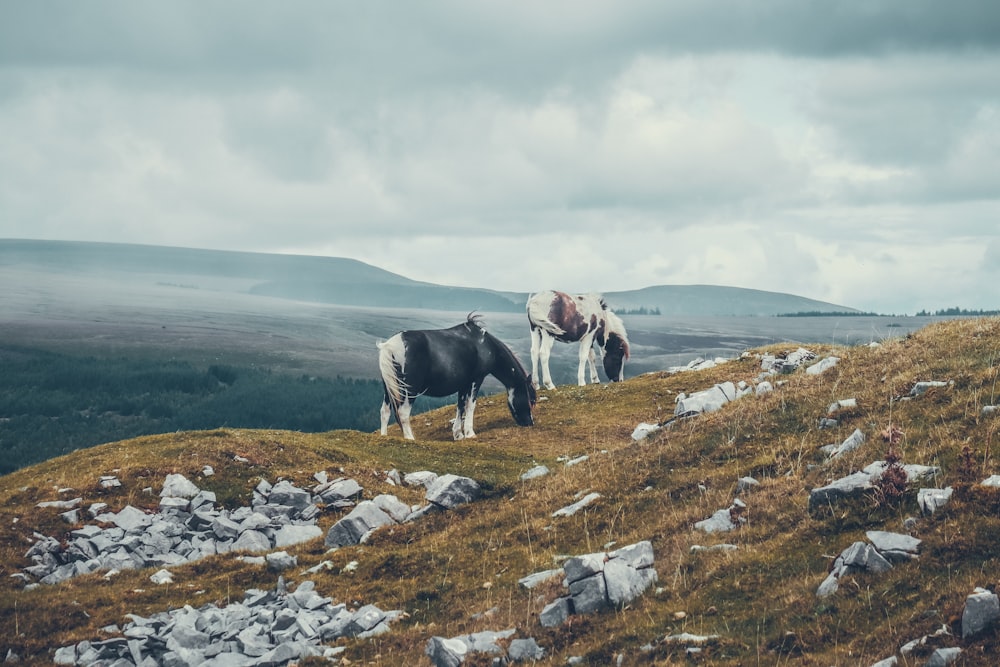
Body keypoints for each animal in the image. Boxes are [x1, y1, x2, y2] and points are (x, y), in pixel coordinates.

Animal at [376, 316, 536, 440]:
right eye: (531, 400)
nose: (530, 423)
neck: (485, 345)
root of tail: (390, 345)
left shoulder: (463, 384)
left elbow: (460, 406)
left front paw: (458, 434)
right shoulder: (476, 380)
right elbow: (470, 405)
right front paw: (470, 433)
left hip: (389, 388)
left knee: (385, 411)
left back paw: (384, 436)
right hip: (409, 389)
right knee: (403, 412)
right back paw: (409, 438)